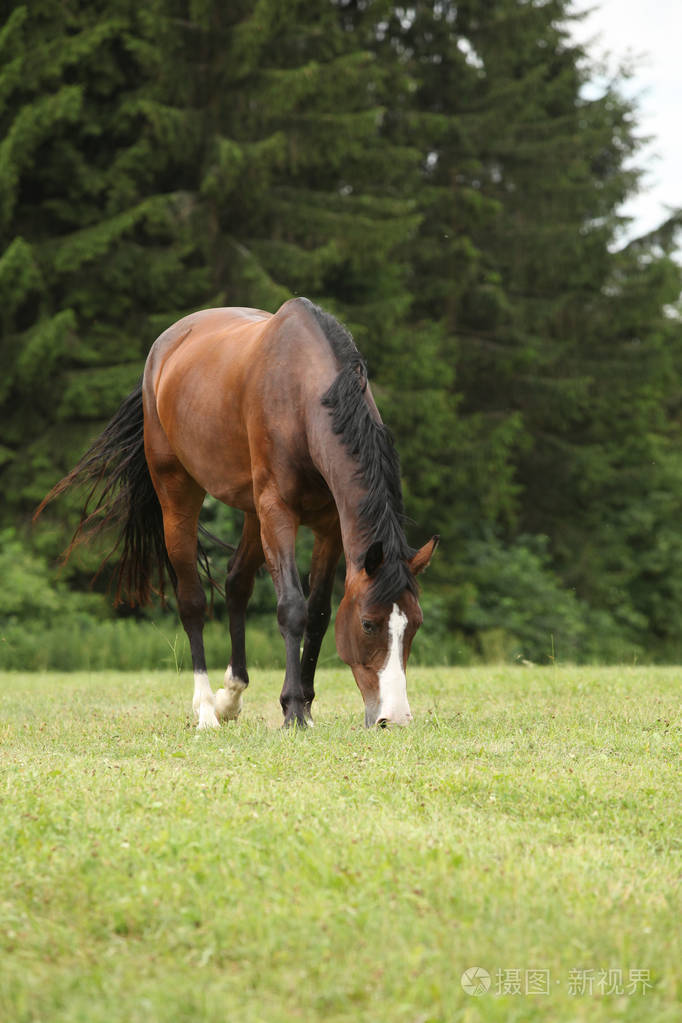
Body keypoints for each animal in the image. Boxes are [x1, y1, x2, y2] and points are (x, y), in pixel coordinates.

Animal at [37, 296, 439, 728]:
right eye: (368, 624)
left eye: (414, 624)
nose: (394, 718)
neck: (302, 397)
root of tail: (163, 350)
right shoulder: (278, 512)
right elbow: (291, 608)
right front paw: (293, 710)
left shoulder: (330, 526)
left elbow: (317, 612)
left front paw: (305, 706)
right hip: (179, 498)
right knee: (192, 601)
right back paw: (205, 709)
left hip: (252, 513)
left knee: (236, 584)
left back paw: (230, 696)